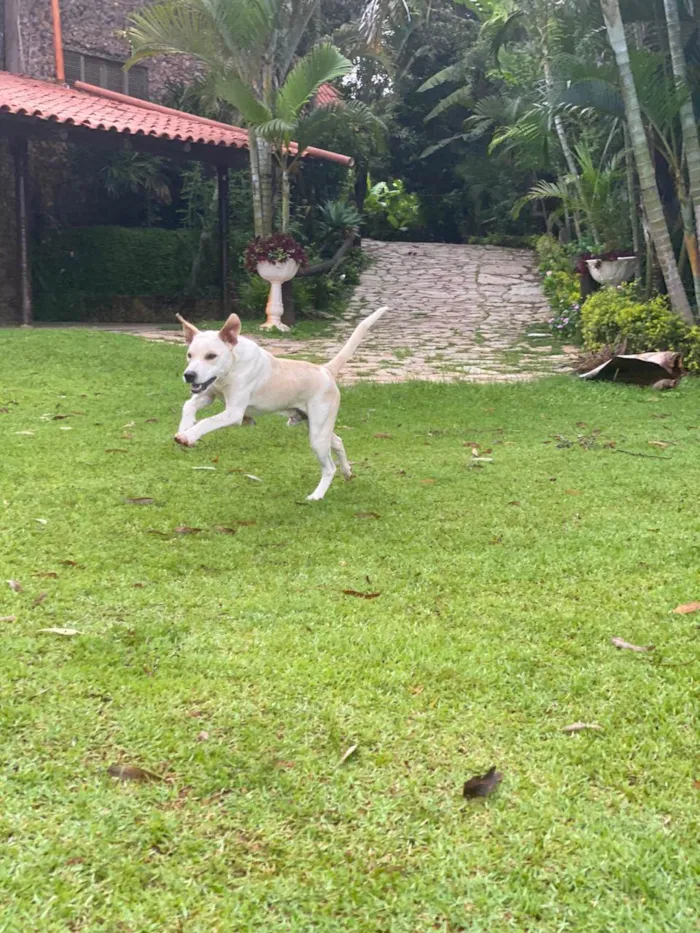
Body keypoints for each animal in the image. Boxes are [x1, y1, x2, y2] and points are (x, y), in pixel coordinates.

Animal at [172, 308, 386, 498]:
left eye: (211, 356)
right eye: (189, 355)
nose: (189, 375)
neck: (232, 366)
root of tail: (326, 370)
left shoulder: (234, 413)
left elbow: (206, 421)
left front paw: (188, 436)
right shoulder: (207, 394)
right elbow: (188, 406)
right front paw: (185, 428)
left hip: (317, 435)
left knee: (329, 468)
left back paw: (316, 496)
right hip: (317, 426)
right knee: (339, 442)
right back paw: (347, 471)